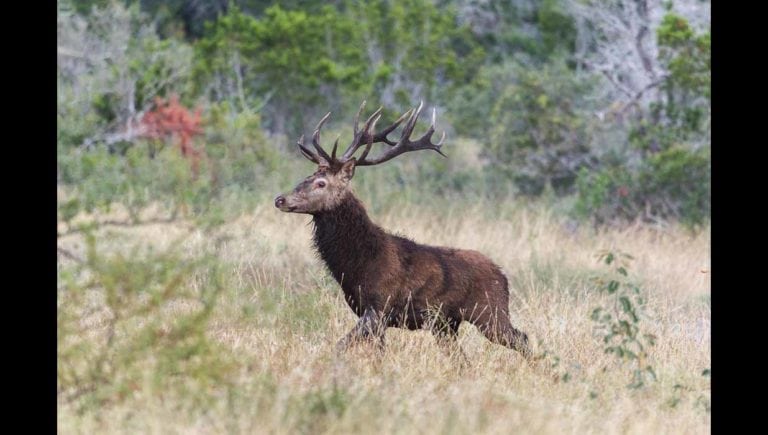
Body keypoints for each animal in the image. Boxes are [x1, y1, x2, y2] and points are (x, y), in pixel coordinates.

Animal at [276, 101, 536, 362]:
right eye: (306, 177)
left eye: (321, 183)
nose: (280, 199)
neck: (358, 265)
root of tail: (503, 276)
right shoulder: (369, 312)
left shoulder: (380, 306)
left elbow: (341, 345)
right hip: (446, 324)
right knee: (462, 358)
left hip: (489, 312)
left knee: (522, 339)